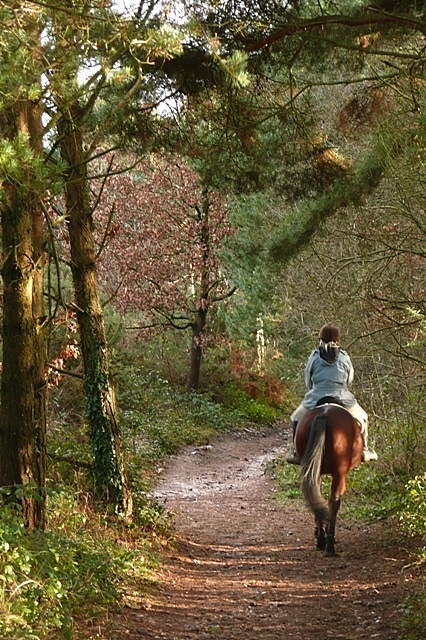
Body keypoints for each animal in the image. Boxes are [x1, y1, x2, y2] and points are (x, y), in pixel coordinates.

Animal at [294, 402, 364, 556]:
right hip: (340, 473)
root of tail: (324, 414)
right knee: (334, 502)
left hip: (313, 468)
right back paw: (329, 544)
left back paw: (321, 539)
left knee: (315, 496)